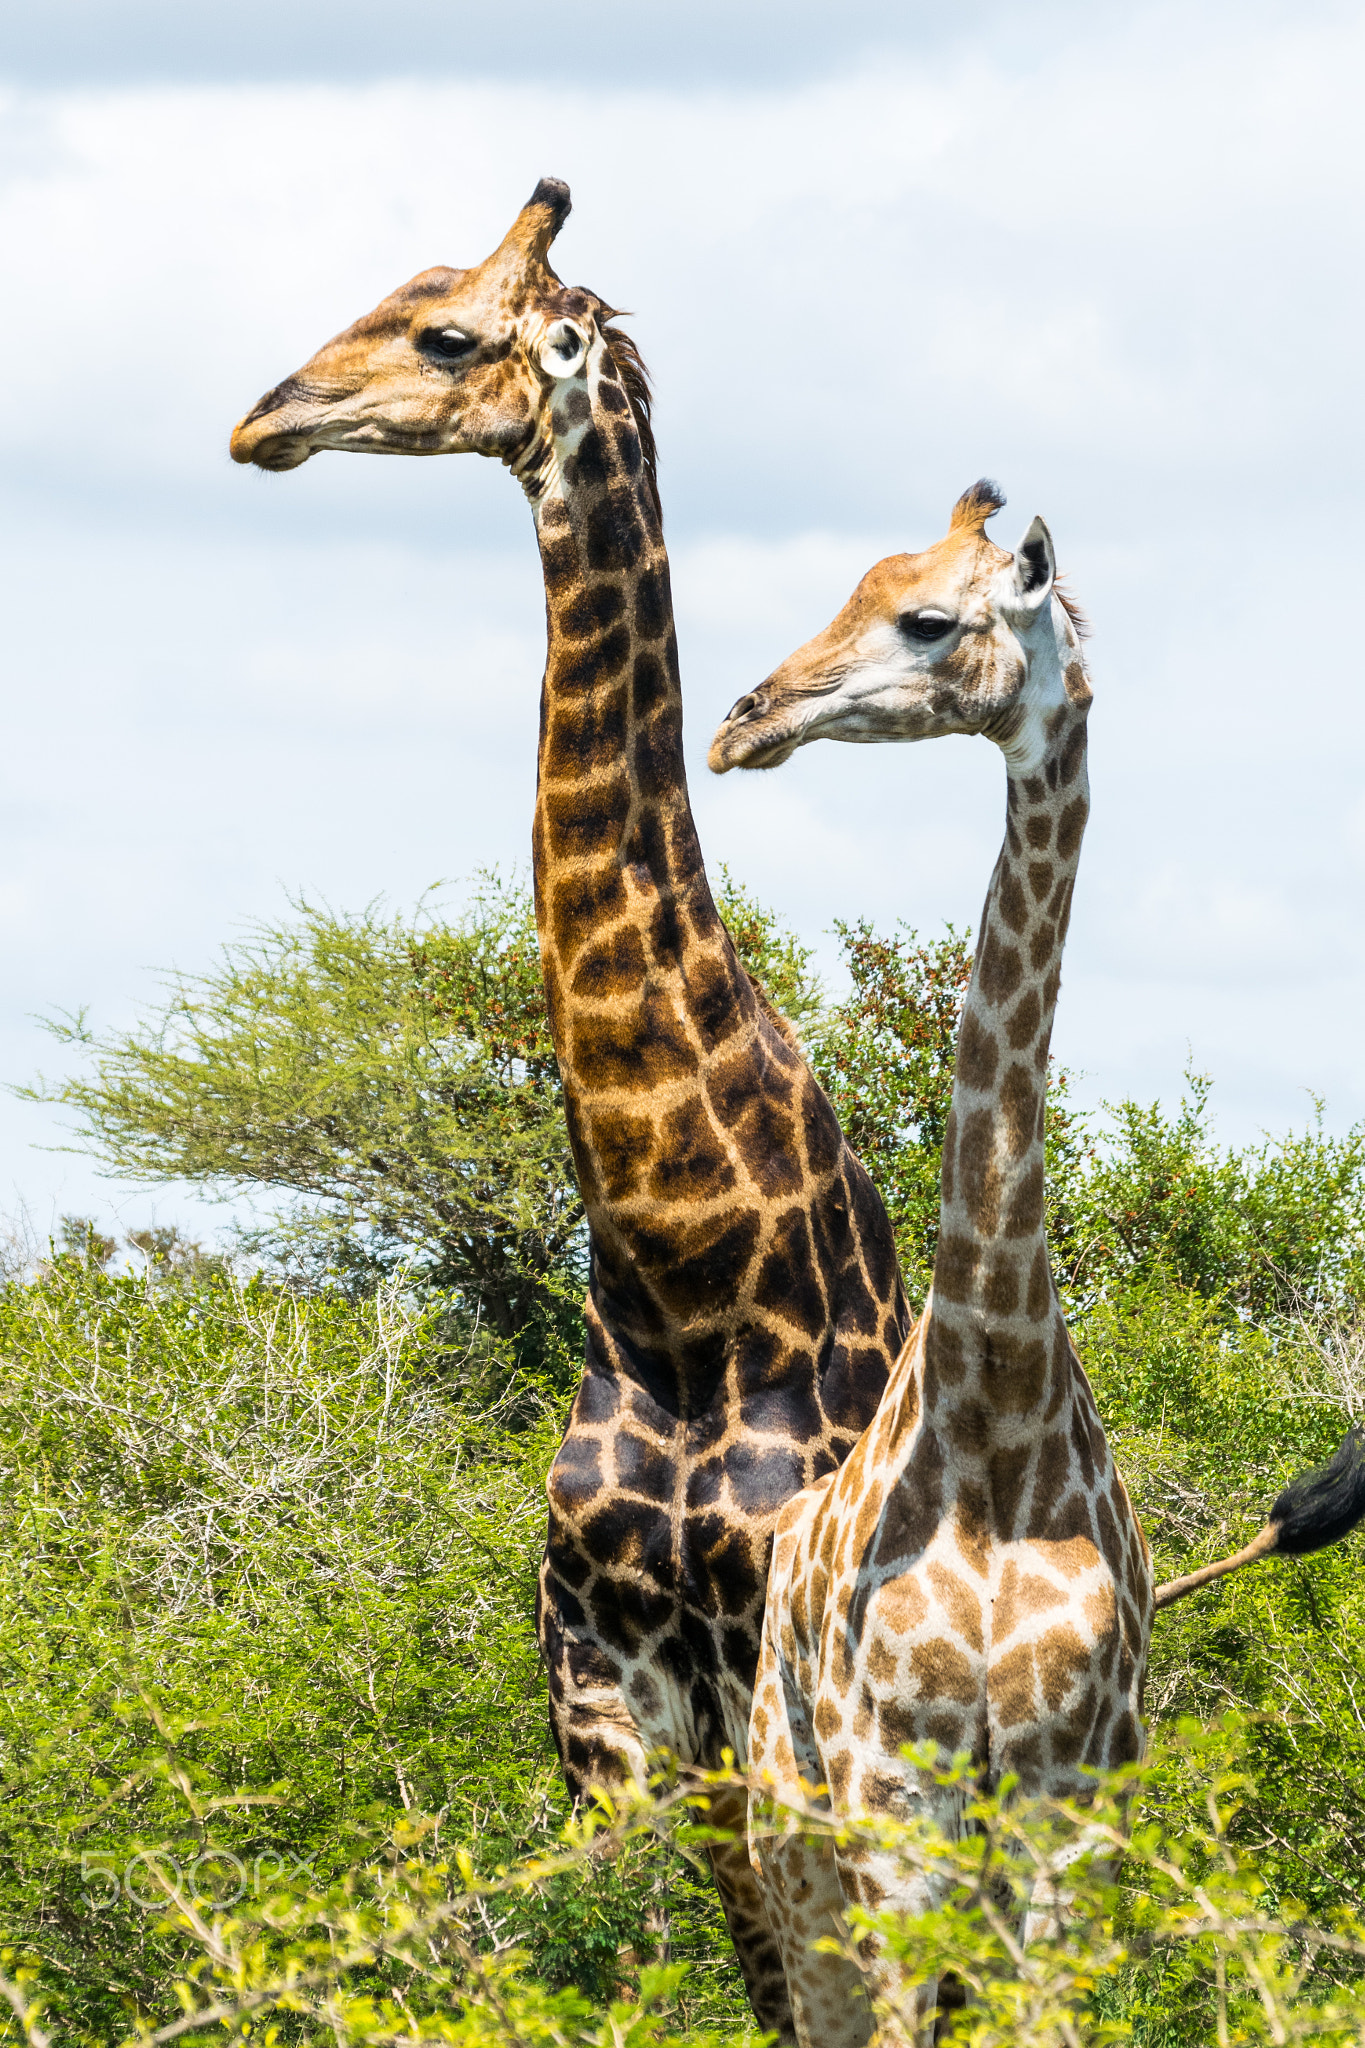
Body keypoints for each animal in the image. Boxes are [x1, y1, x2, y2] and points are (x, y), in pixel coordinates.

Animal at [229, 180, 912, 2031]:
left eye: (448, 332)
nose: (264, 419)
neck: (687, 1278)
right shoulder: (603, 1696)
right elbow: (640, 1965)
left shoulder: (768, 1681)